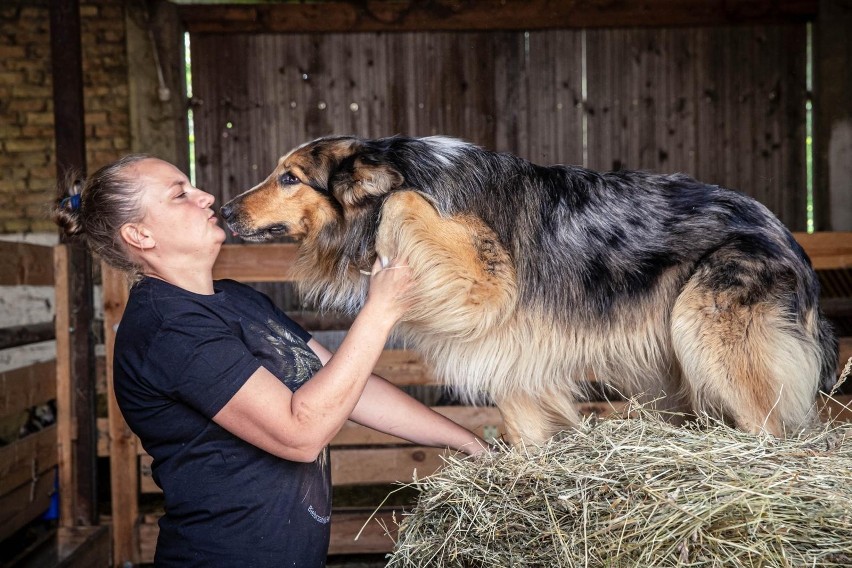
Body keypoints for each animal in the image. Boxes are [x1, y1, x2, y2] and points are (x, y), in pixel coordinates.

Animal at [221, 135, 840, 446]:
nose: (222, 211)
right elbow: (525, 429)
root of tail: (786, 236)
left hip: (703, 326)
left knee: (770, 427)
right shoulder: (511, 356)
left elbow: (399, 200)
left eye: (289, 178)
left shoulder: (492, 280)